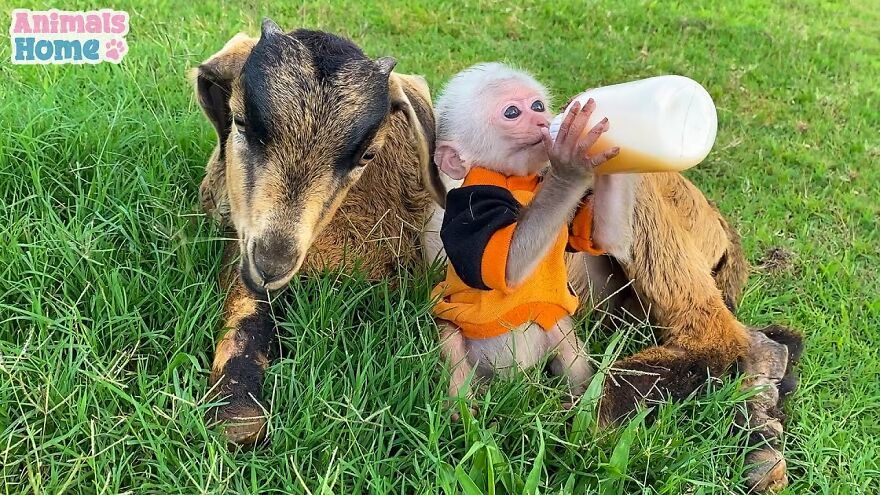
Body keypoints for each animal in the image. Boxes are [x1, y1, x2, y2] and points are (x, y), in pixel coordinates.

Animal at [430, 63, 629, 411]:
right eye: (512, 112)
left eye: (537, 106)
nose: (542, 121)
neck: (516, 181)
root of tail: (514, 380)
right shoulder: (467, 207)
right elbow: (507, 266)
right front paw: (571, 164)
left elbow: (597, 237)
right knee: (451, 345)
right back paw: (463, 412)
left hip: (553, 334)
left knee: (567, 346)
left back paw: (577, 406)